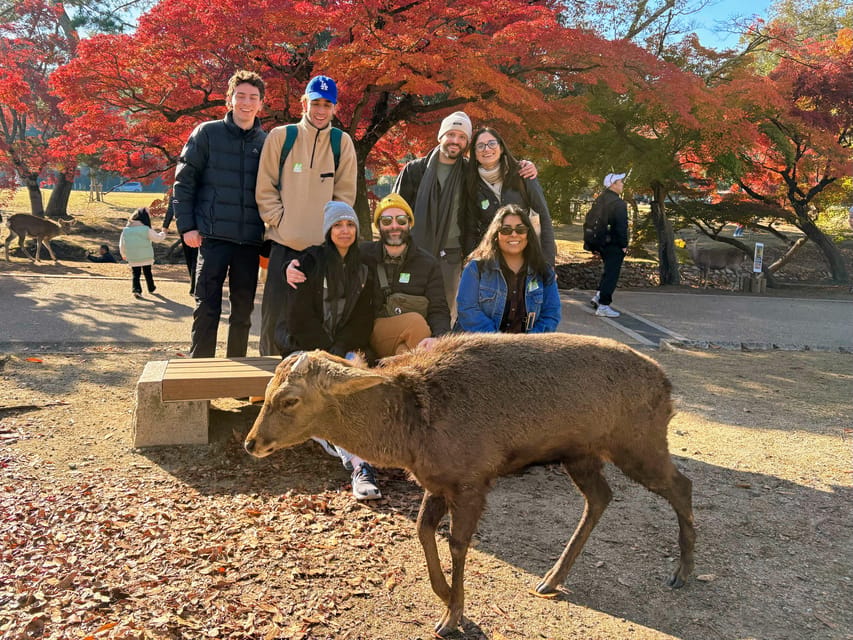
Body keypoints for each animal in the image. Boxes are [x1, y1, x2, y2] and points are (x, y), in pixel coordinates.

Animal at [245, 332, 696, 637]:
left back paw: (683, 572)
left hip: (638, 441)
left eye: (289, 399)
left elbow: (458, 545)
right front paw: (445, 596)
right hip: (580, 454)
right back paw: (552, 579)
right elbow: (423, 530)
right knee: (602, 496)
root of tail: (669, 386)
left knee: (682, 484)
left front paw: (452, 616)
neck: (411, 434)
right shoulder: (438, 480)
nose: (252, 442)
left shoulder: (473, 477)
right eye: (265, 390)